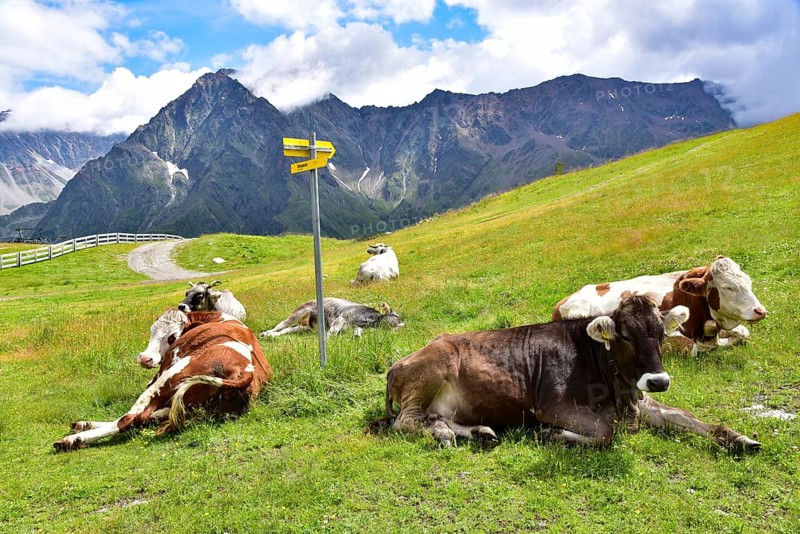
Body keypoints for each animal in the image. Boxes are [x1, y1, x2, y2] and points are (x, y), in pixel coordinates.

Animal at [54, 310, 272, 451]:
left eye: (172, 337)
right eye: (151, 330)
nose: (145, 358)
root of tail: (245, 372)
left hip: (171, 376)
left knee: (131, 418)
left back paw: (73, 440)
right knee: (142, 418)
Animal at [260, 298, 404, 338]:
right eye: (395, 315)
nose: (403, 325)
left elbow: (357, 332)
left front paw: (357, 336)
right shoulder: (340, 318)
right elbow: (333, 333)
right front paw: (327, 339)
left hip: (303, 327)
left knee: (286, 330)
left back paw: (271, 335)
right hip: (298, 313)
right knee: (282, 324)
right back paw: (266, 333)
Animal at [378, 295, 760, 453]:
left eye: (661, 334)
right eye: (625, 335)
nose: (658, 381)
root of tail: (397, 364)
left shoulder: (644, 400)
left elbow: (689, 418)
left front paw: (739, 438)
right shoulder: (552, 405)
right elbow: (606, 433)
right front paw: (553, 435)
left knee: (436, 420)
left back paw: (476, 432)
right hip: (430, 374)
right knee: (405, 423)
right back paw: (445, 435)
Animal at [551, 256, 767, 355]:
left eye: (748, 281)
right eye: (728, 287)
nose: (760, 311)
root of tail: (560, 304)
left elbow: (743, 333)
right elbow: (693, 347)